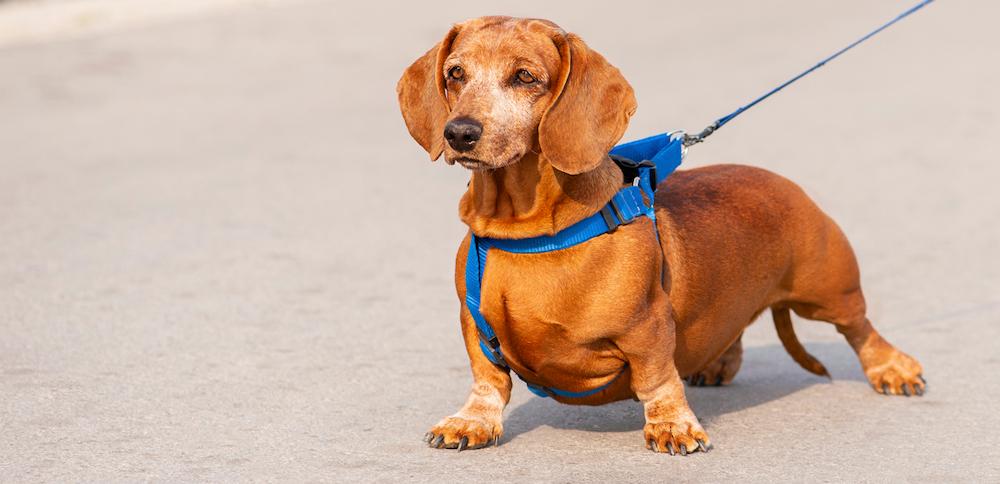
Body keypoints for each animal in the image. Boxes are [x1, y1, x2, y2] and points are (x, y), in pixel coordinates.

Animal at [394, 15, 924, 454]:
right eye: (456, 74)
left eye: (525, 77)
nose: (459, 132)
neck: (529, 232)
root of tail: (783, 183)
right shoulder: (473, 327)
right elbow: (488, 380)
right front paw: (472, 421)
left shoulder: (647, 328)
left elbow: (656, 379)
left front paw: (672, 426)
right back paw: (718, 362)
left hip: (828, 290)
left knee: (861, 329)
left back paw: (893, 368)